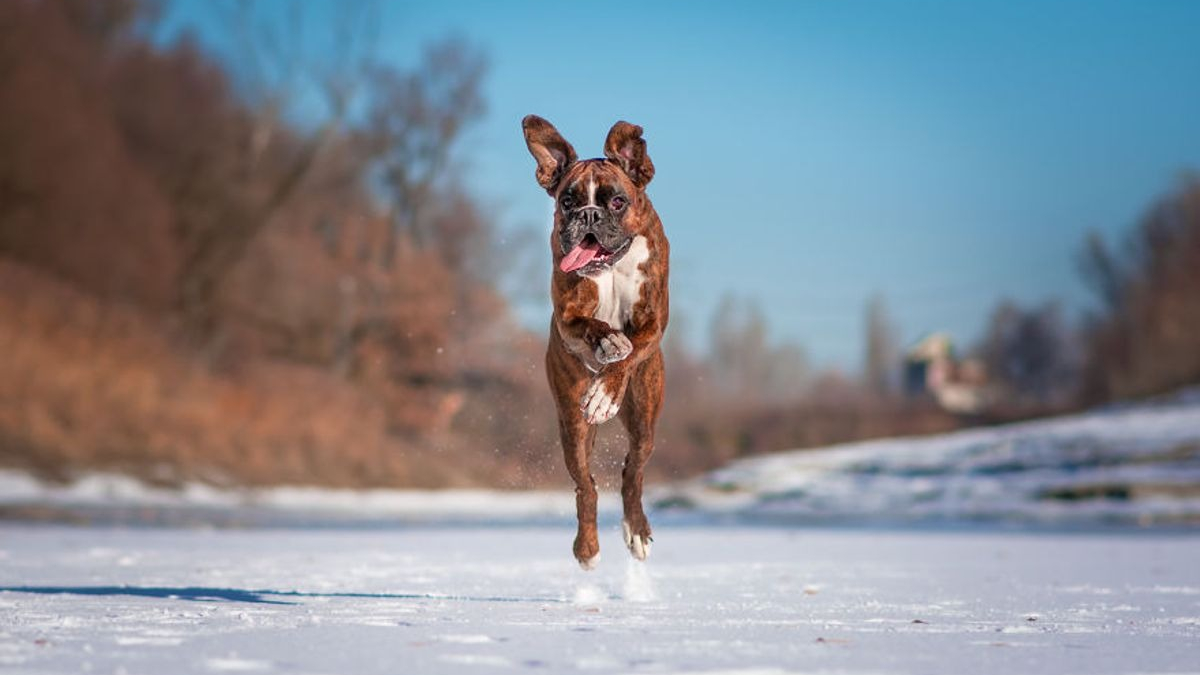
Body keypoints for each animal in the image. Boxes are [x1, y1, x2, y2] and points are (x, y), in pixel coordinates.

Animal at [520, 115, 672, 566]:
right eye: (567, 202)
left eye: (616, 202)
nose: (588, 215)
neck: (611, 267)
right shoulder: (569, 320)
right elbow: (593, 327)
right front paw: (608, 344)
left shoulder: (654, 322)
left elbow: (630, 352)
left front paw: (605, 390)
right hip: (572, 426)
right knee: (585, 485)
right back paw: (587, 546)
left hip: (644, 418)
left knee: (632, 472)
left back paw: (636, 530)